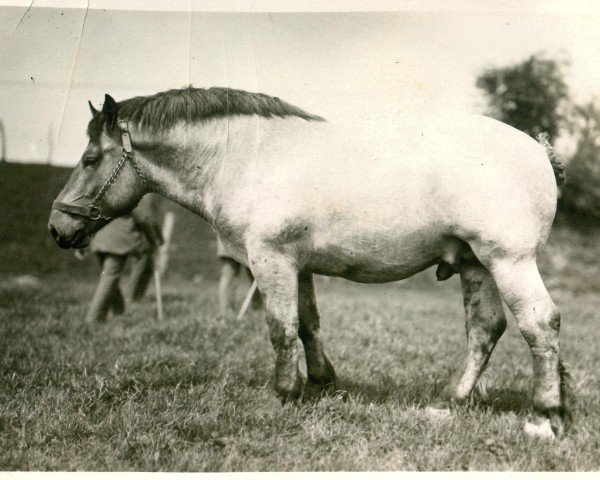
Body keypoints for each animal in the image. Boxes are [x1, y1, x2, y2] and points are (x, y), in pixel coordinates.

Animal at [49, 86, 568, 438]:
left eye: (91, 159)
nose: (57, 228)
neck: (247, 157)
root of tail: (538, 149)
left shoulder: (270, 259)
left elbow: (280, 328)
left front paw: (285, 392)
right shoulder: (296, 266)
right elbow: (306, 325)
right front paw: (320, 383)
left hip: (509, 262)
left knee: (540, 325)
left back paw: (544, 416)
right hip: (478, 266)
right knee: (485, 329)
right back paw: (449, 402)